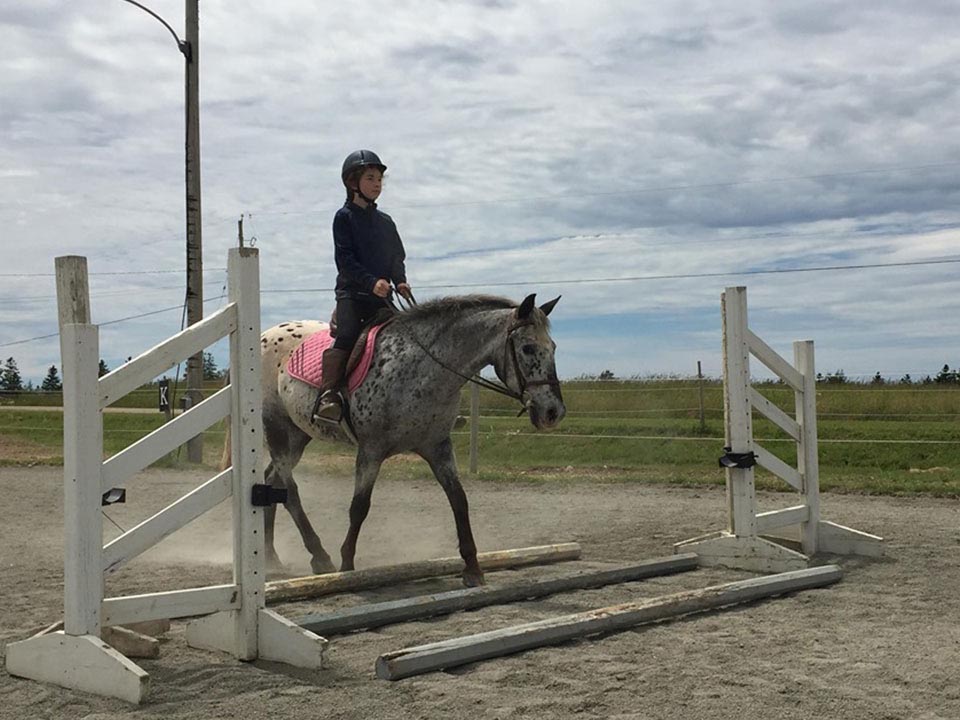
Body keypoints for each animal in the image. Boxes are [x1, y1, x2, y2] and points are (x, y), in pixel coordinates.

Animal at [246, 292, 568, 584]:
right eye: (528, 348)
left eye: (553, 347)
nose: (553, 412)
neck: (422, 369)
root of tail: (265, 334)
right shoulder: (371, 450)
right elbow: (359, 507)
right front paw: (347, 567)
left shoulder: (438, 447)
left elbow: (459, 500)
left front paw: (473, 569)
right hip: (277, 428)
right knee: (290, 491)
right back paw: (320, 556)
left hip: (298, 435)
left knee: (273, 481)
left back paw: (272, 556)